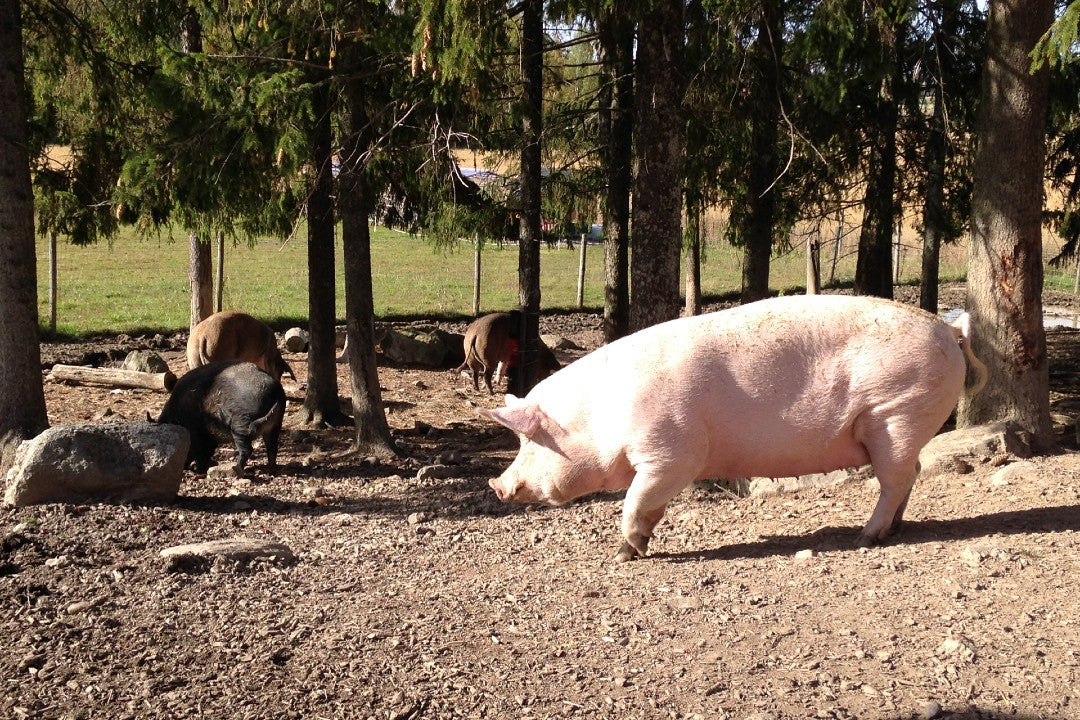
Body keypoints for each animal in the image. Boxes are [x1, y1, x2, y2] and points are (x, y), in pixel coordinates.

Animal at [155, 360, 287, 472]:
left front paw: (199, 470)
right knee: (272, 447)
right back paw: (271, 471)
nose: (184, 469)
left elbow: (200, 453)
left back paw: (236, 469)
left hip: (240, 424)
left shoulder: (197, 433)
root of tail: (275, 392)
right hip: (275, 424)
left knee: (247, 450)